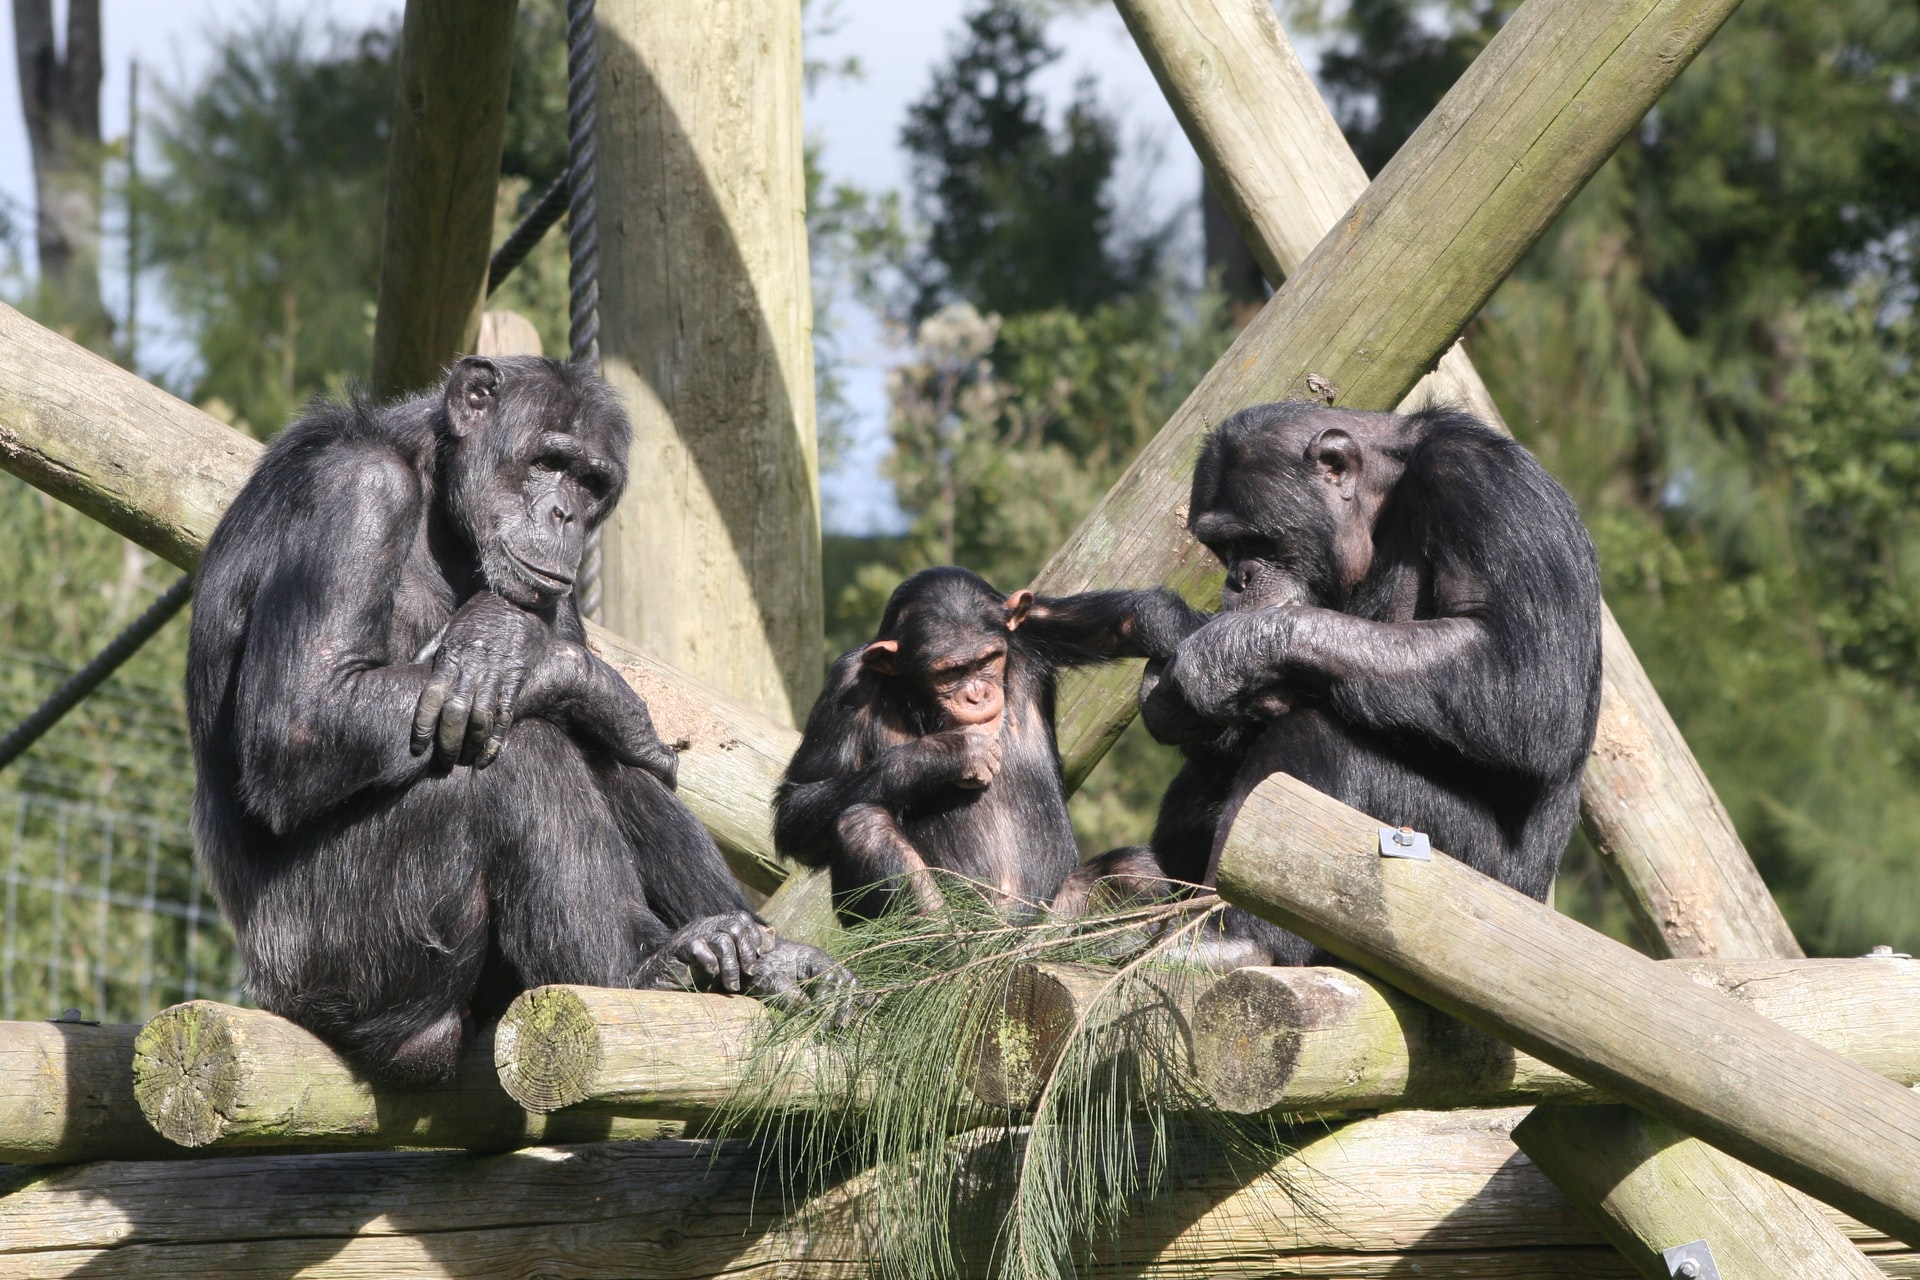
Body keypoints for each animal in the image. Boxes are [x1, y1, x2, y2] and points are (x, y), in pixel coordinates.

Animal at [191, 353, 844, 1082]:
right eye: (547, 461)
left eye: (592, 482)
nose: (565, 514)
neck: (435, 490)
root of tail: (271, 993)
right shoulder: (355, 495)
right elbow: (302, 719)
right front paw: (540, 657)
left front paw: (518, 646)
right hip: (336, 956)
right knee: (520, 751)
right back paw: (643, 966)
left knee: (594, 753)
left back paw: (766, 959)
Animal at [775, 568, 1198, 921]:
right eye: (949, 673)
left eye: (989, 659)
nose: (977, 694)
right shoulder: (846, 684)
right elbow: (798, 805)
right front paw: (949, 754)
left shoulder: (1031, 626)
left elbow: (1128, 619)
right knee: (864, 827)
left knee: (1137, 871)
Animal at [1059, 404, 1597, 967]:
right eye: (1222, 547)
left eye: (1258, 540)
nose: (1238, 576)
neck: (1383, 503)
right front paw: (1170, 692)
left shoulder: (1481, 484)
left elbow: (1527, 674)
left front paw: (1227, 649)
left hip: (1466, 879)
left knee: (1315, 740)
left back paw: (1235, 936)